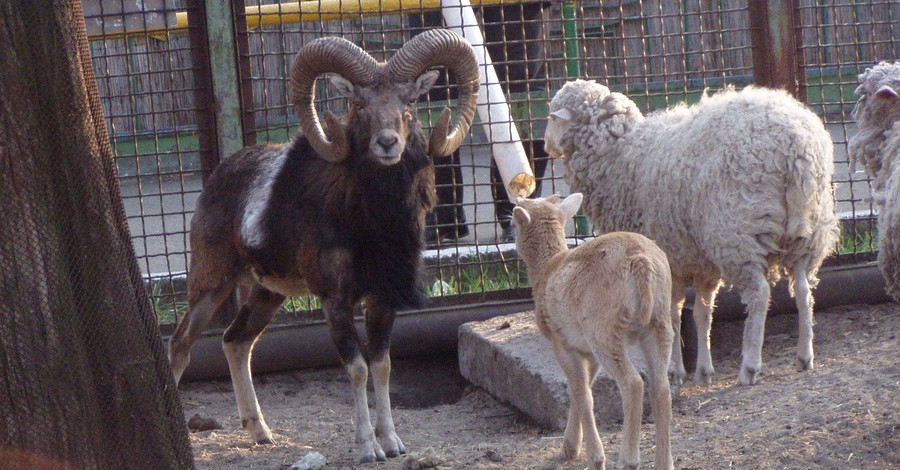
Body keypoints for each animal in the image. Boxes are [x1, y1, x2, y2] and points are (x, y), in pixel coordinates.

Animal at [510, 194, 672, 470]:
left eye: (512, 222)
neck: (547, 268)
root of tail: (642, 262)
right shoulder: (585, 349)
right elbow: (580, 389)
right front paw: (569, 447)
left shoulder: (561, 342)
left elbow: (582, 393)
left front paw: (594, 457)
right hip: (660, 323)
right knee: (661, 387)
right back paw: (665, 463)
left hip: (604, 330)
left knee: (633, 384)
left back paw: (628, 459)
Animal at [540, 79, 844, 384]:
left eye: (552, 118)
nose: (545, 146)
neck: (620, 155)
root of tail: (797, 145)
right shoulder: (700, 262)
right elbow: (702, 313)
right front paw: (703, 370)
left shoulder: (669, 259)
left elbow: (672, 315)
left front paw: (675, 370)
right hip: (809, 232)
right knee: (803, 289)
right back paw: (804, 356)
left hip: (737, 233)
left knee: (759, 294)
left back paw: (749, 366)